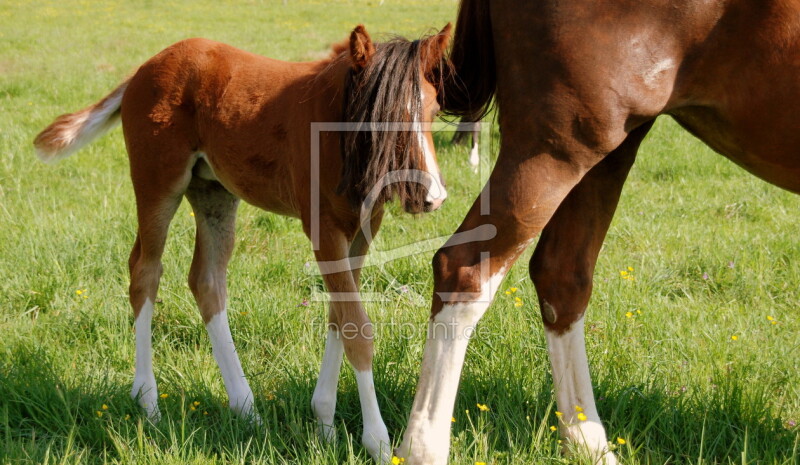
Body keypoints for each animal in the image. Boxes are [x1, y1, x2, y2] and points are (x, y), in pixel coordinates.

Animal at [32, 23, 456, 462]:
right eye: (380, 117)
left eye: (432, 110)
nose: (431, 196)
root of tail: (143, 68)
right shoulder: (323, 230)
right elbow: (356, 327)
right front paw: (377, 440)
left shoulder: (362, 228)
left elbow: (340, 317)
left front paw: (324, 423)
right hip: (158, 183)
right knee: (144, 272)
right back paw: (148, 402)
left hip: (213, 192)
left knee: (206, 280)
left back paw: (246, 408)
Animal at [396, 0, 800, 464]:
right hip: (554, 149)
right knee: (465, 269)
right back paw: (423, 447)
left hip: (608, 149)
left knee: (561, 277)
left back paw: (587, 441)